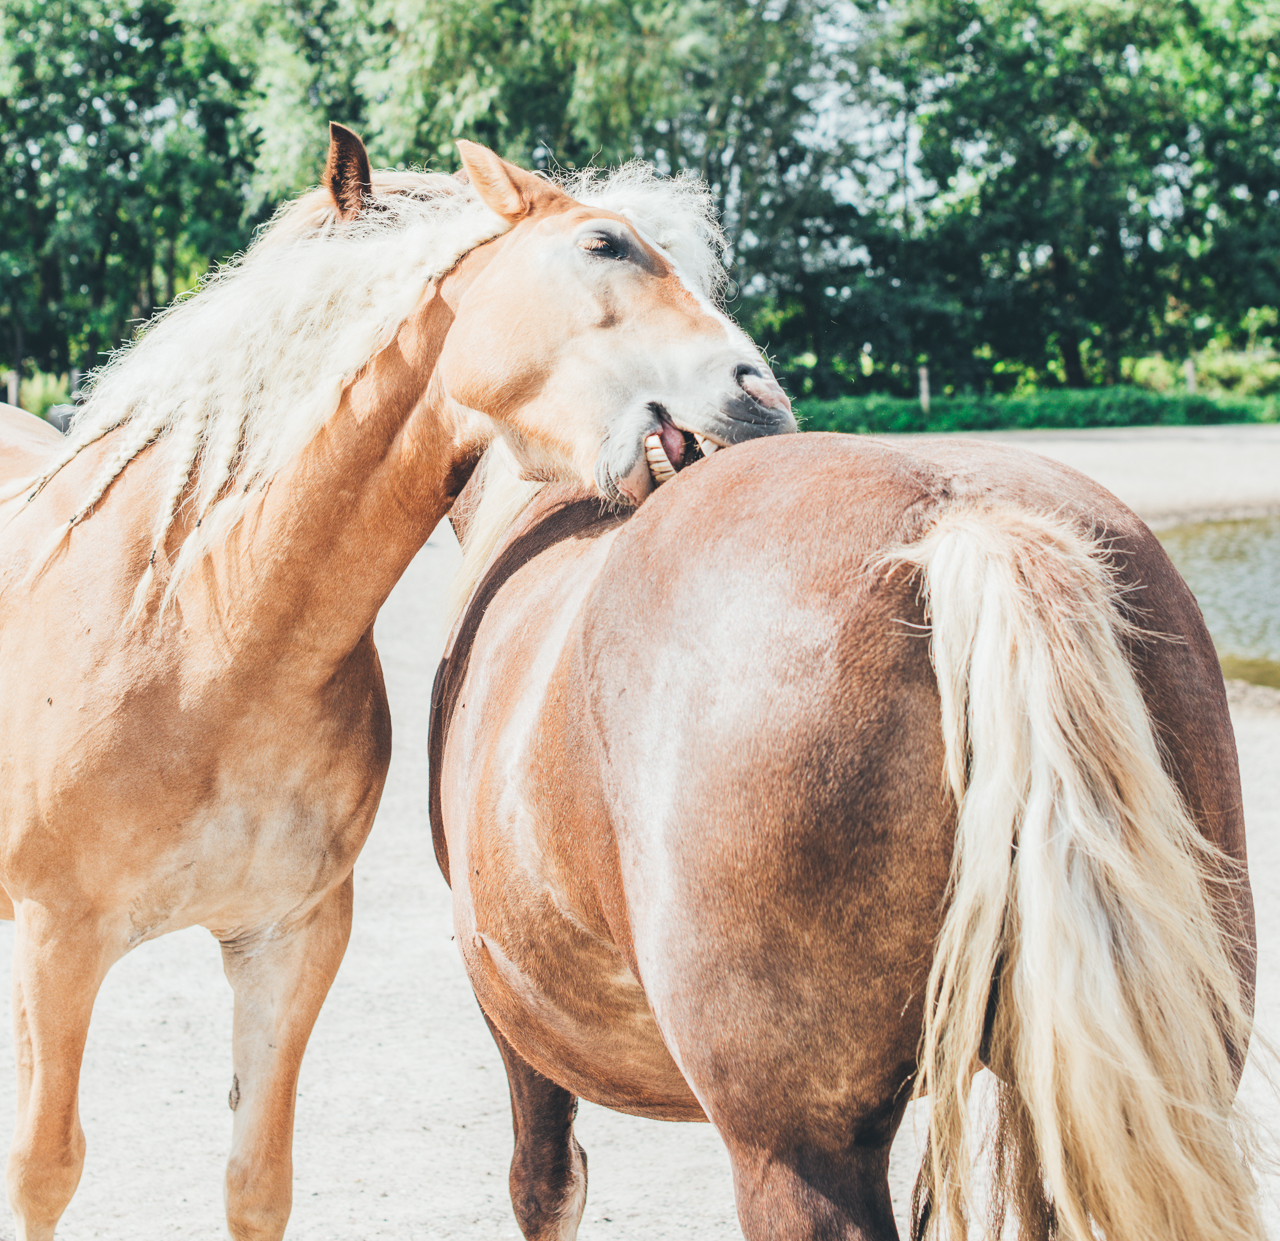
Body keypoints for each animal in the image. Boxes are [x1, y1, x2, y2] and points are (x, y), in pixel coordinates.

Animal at [0, 127, 788, 1238]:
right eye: (605, 246)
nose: (764, 402)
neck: (200, 625)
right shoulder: (57, 943)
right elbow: (43, 1167)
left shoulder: (291, 938)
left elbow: (257, 1179)